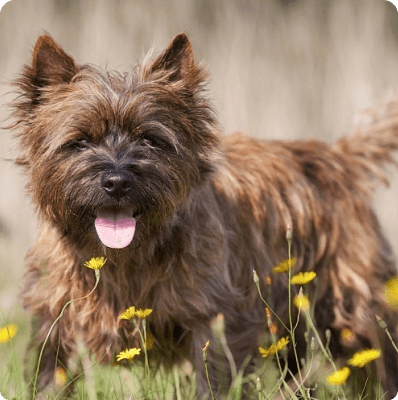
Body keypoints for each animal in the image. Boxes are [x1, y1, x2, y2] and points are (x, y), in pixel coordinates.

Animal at [10, 32, 398, 398]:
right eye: (80, 141)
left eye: (149, 139)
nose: (117, 182)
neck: (123, 259)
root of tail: (340, 156)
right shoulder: (54, 320)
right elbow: (49, 377)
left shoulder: (214, 320)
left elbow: (212, 380)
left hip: (353, 311)